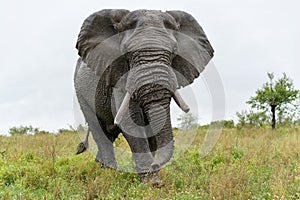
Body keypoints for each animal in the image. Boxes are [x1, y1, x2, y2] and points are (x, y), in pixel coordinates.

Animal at [73, 9, 213, 183]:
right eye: (127, 53)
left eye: (174, 52)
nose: (155, 165)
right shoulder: (120, 74)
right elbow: (131, 123)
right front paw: (151, 183)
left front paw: (152, 179)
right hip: (81, 93)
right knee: (99, 131)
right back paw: (108, 174)